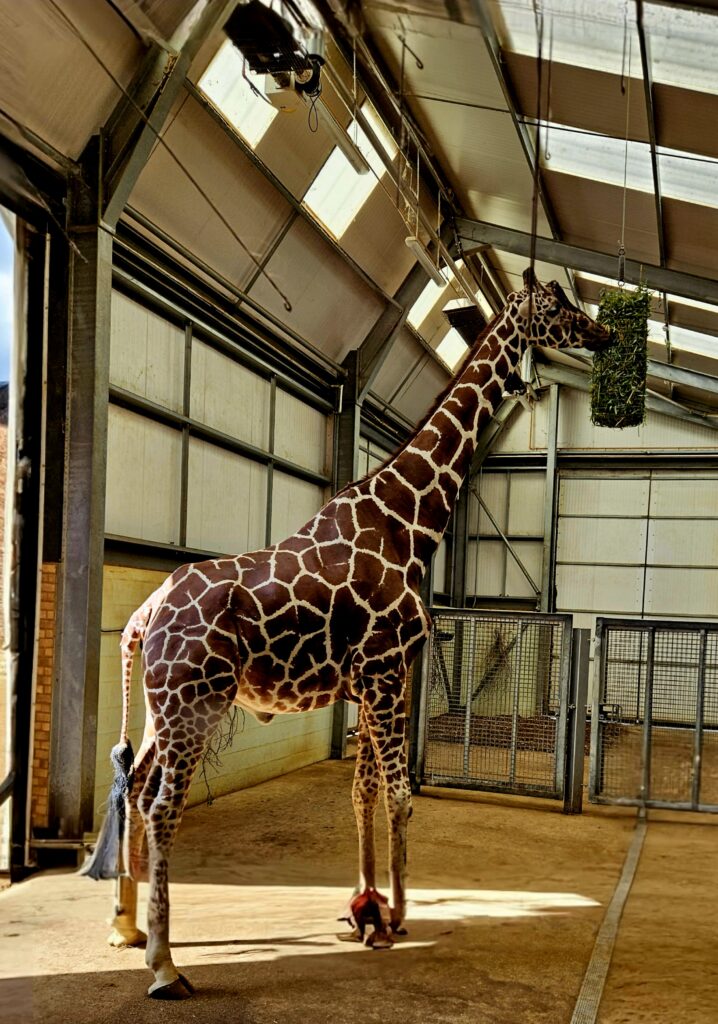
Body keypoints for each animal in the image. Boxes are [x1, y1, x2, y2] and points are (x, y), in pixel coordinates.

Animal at [82, 269, 610, 998]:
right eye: (557, 304)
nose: (605, 332)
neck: (406, 520)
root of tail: (143, 615)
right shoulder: (389, 669)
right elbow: (400, 795)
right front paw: (396, 918)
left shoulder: (370, 679)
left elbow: (362, 793)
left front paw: (365, 909)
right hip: (195, 703)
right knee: (162, 805)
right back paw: (165, 966)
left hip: (166, 707)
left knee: (134, 787)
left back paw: (126, 930)